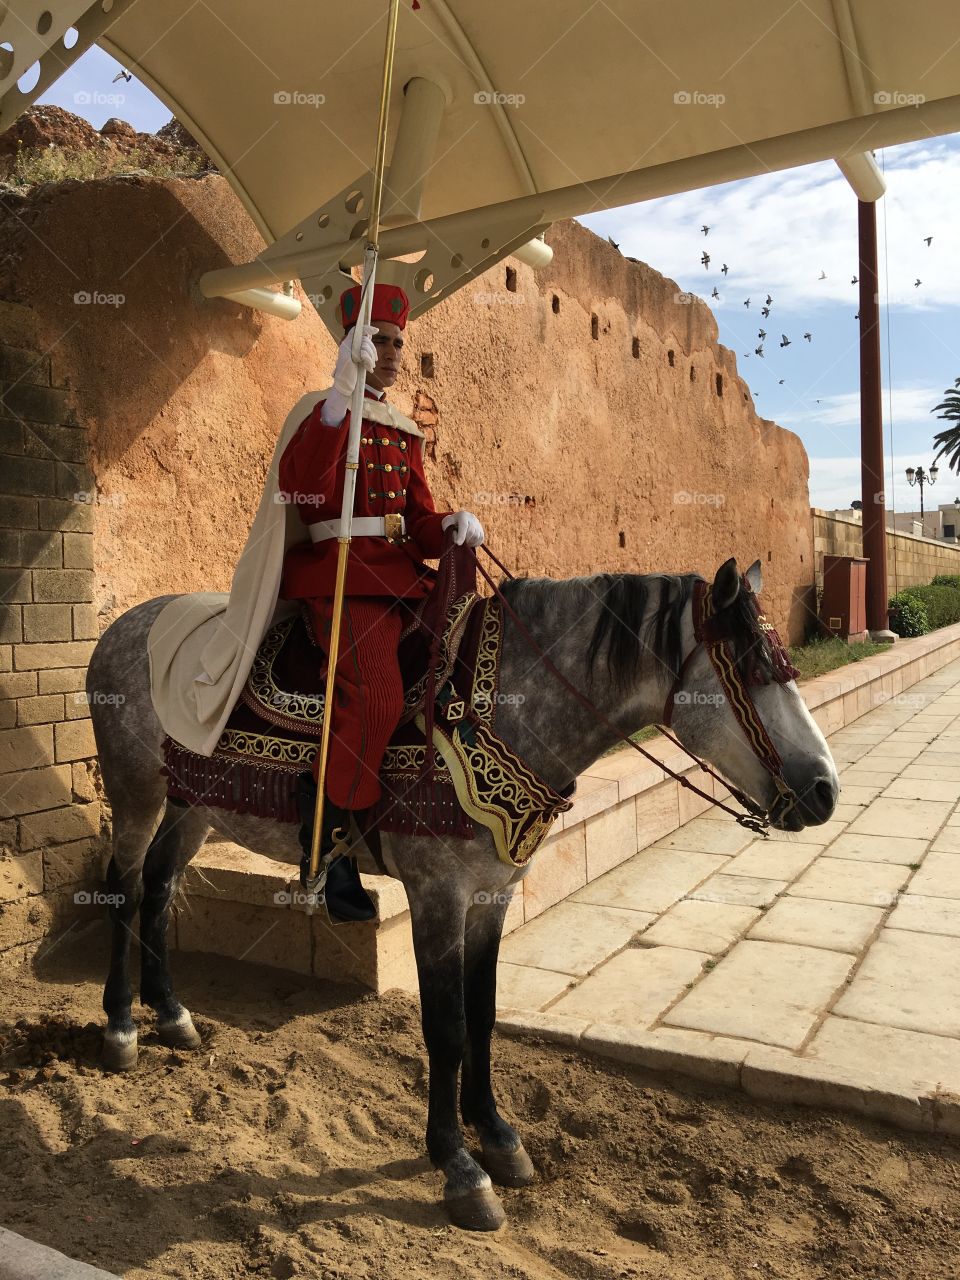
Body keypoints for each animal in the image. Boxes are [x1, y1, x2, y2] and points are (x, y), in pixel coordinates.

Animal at [85, 555, 839, 1232]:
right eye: (751, 670)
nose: (825, 792)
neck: (500, 709)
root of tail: (123, 624)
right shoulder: (438, 895)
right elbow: (444, 1026)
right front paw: (459, 1166)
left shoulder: (491, 896)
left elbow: (482, 1012)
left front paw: (498, 1135)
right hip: (136, 789)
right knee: (124, 890)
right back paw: (121, 1026)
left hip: (195, 804)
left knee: (160, 887)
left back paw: (172, 1015)